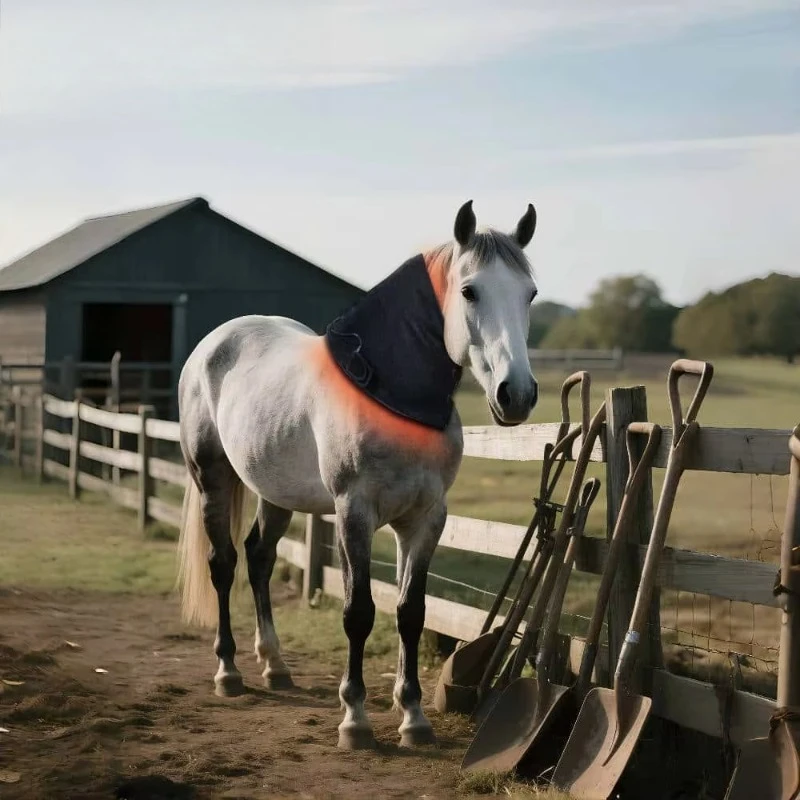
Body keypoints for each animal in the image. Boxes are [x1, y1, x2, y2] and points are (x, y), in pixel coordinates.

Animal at [175, 199, 540, 750]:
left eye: (530, 294)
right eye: (469, 290)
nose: (515, 394)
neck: (393, 399)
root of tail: (212, 345)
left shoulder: (425, 519)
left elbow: (411, 612)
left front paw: (413, 717)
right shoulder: (355, 513)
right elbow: (359, 611)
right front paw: (356, 719)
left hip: (274, 492)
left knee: (259, 558)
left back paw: (275, 666)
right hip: (212, 477)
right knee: (224, 564)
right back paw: (229, 672)